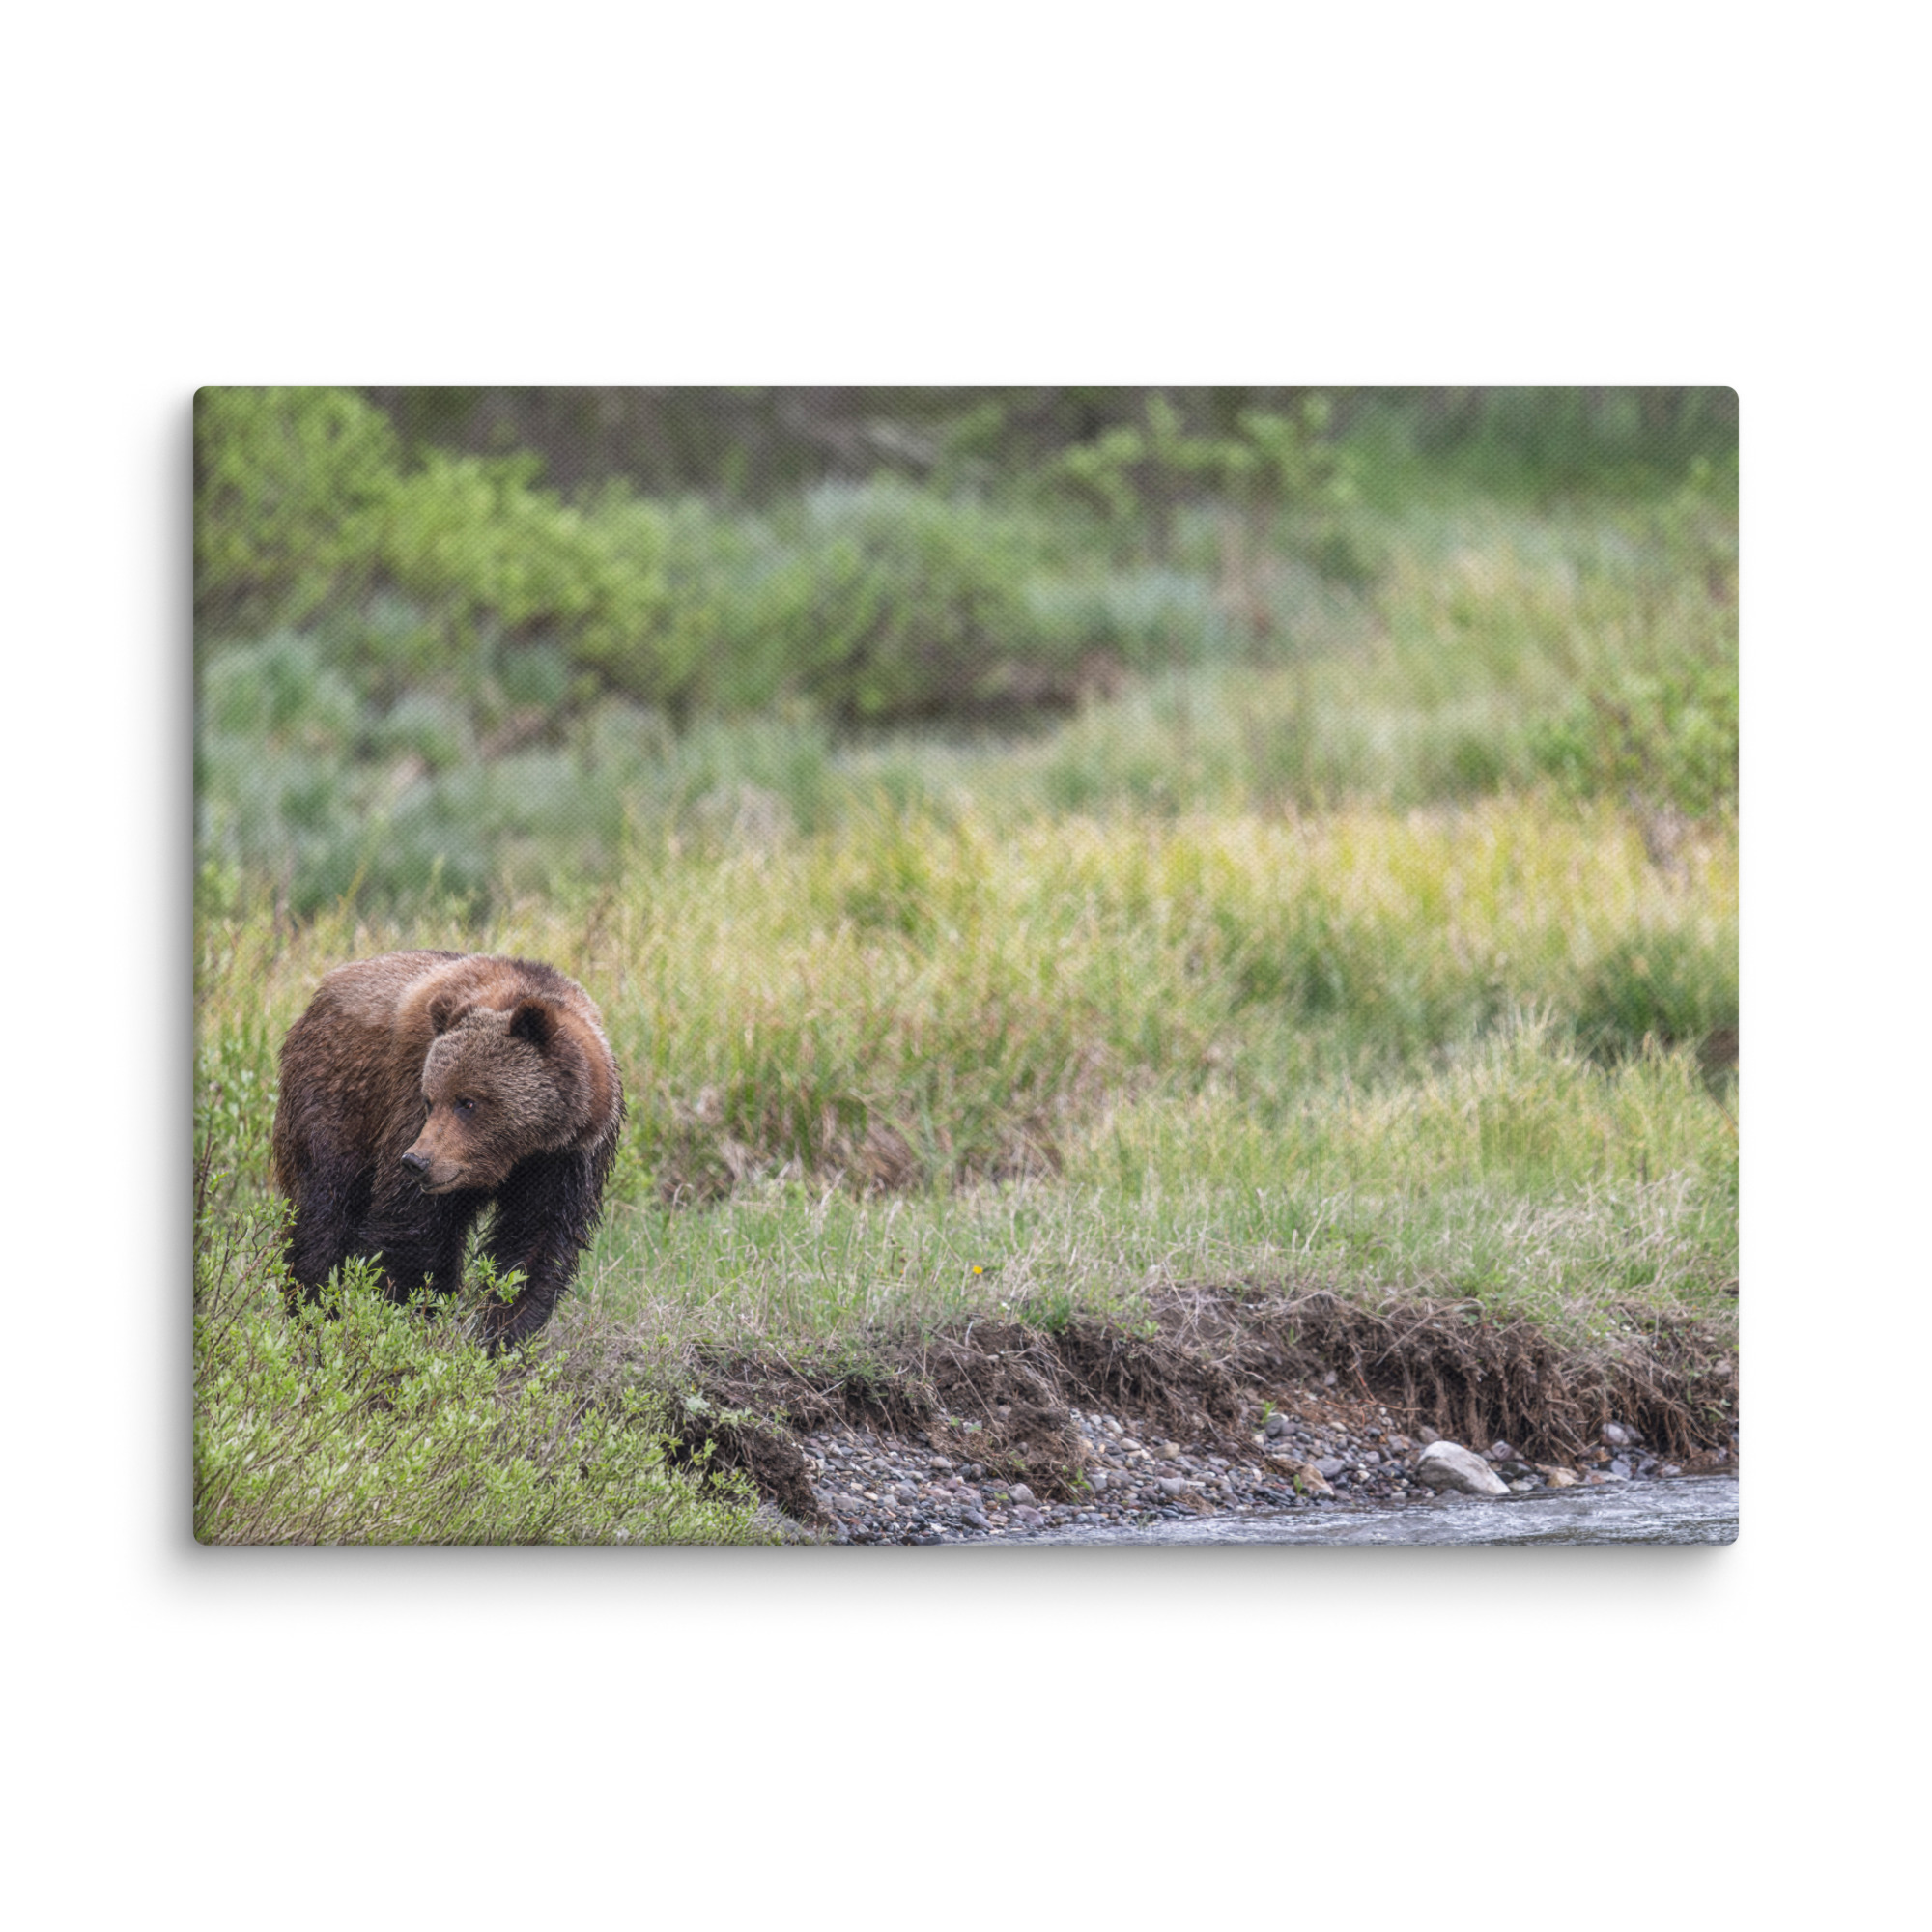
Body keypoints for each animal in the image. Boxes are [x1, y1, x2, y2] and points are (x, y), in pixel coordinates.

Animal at [270, 950, 625, 1350]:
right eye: (431, 1099)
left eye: (468, 1102)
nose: (417, 1162)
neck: (519, 1152)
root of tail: (322, 992)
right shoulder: (409, 1104)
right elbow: (413, 1231)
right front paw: (409, 1319)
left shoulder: (566, 1160)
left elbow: (534, 1245)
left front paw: (502, 1335)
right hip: (338, 1098)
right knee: (324, 1209)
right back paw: (313, 1312)